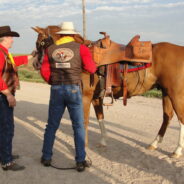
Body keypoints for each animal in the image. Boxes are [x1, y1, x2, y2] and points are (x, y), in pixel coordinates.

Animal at [31, 25, 184, 158]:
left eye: (40, 42)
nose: (34, 63)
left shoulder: (85, 96)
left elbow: (84, 121)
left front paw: (83, 146)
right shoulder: (96, 97)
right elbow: (100, 117)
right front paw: (104, 140)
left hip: (175, 94)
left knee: (180, 119)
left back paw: (177, 150)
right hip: (166, 92)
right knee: (167, 117)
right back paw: (154, 143)